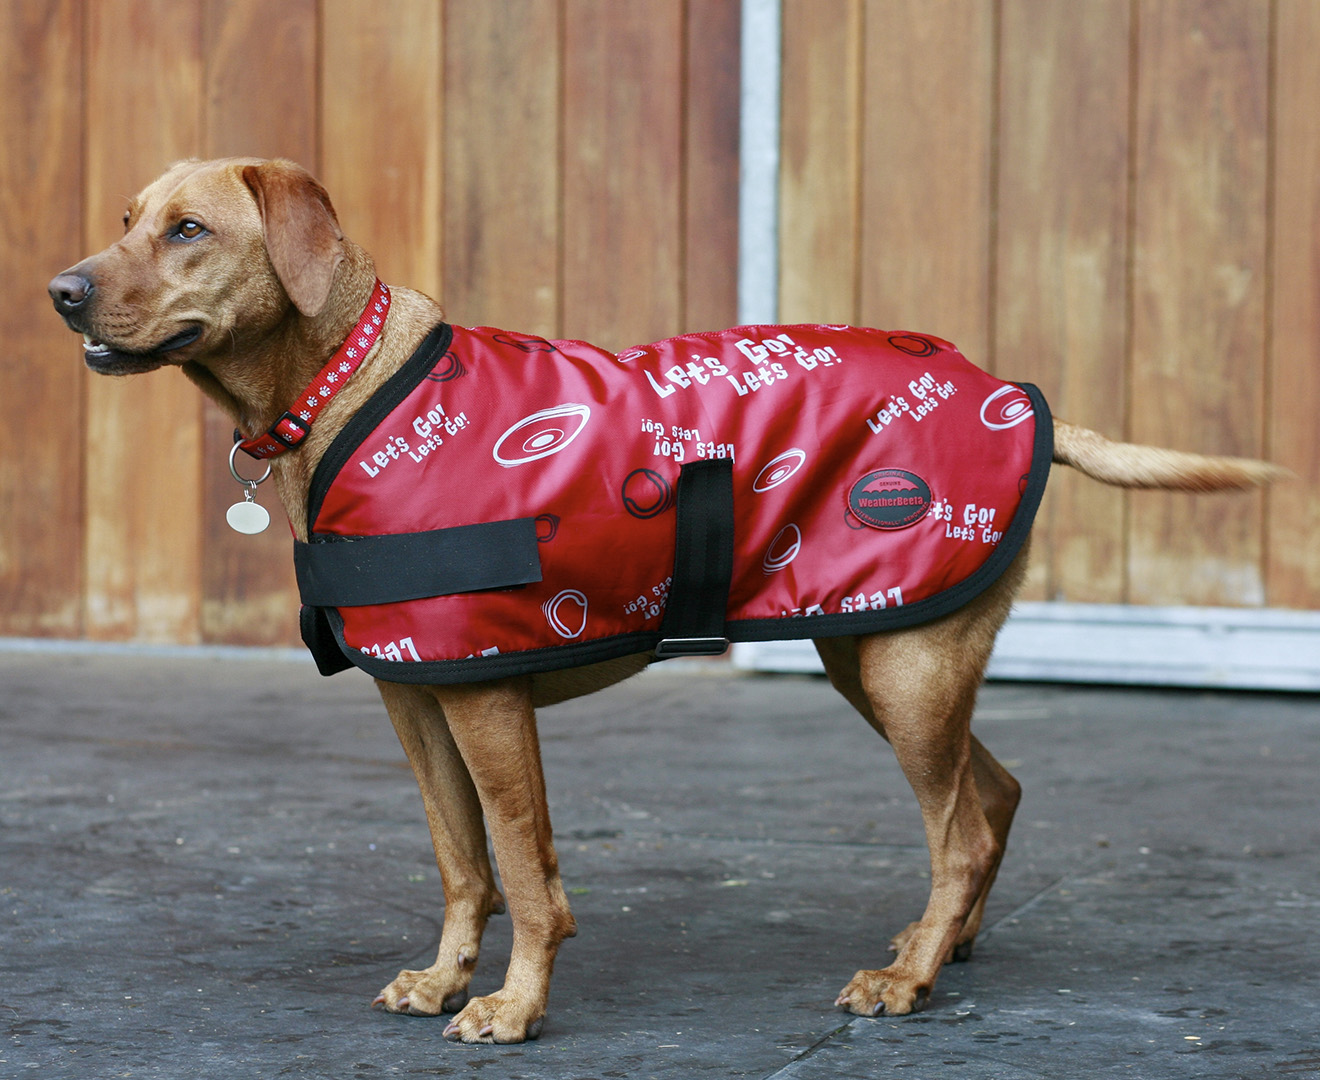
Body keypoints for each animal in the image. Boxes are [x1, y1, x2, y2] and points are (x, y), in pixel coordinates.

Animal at [46, 155, 1283, 1040]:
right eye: (127, 217)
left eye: (189, 230)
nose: (60, 291)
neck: (347, 390)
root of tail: (1014, 394)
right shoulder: (417, 699)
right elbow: (462, 864)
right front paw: (446, 979)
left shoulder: (486, 702)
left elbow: (526, 870)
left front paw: (515, 1006)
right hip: (882, 658)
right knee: (994, 798)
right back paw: (936, 950)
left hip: (905, 671)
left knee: (964, 828)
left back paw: (908, 978)